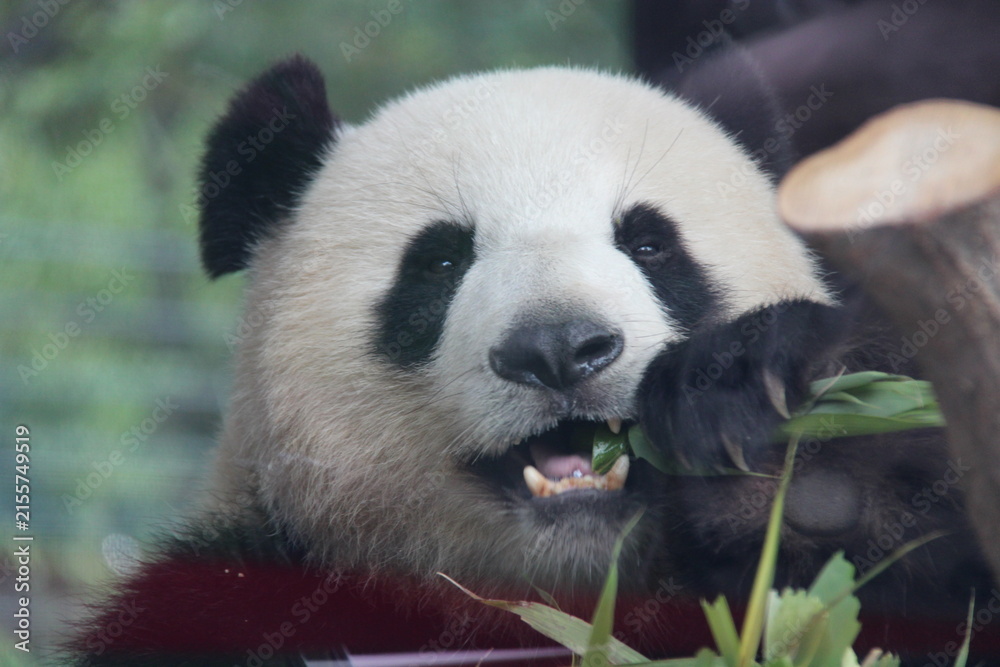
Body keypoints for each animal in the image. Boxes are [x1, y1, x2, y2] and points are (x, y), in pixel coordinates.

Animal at [72, 56, 997, 665]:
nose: (558, 348)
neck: (561, 602)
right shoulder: (242, 580)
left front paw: (777, 451)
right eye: (440, 261)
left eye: (650, 242)